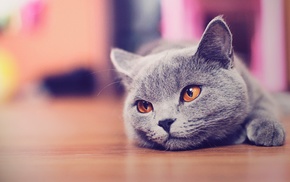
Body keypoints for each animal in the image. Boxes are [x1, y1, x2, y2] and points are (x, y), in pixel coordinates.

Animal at [110, 16, 286, 150]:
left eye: (190, 93)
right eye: (144, 106)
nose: (165, 122)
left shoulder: (258, 90)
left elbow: (264, 107)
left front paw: (268, 129)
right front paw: (239, 135)